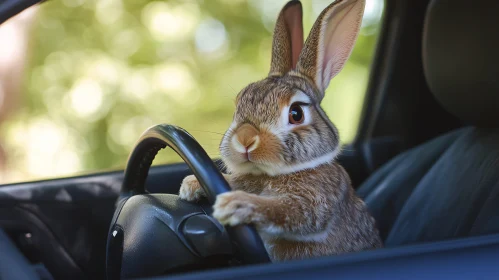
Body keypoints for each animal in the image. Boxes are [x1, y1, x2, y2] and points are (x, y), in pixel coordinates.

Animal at [180, 0, 382, 262]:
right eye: (238, 107)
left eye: (296, 113)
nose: (245, 139)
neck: (274, 174)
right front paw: (191, 185)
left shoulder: (316, 202)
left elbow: (286, 210)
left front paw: (236, 204)